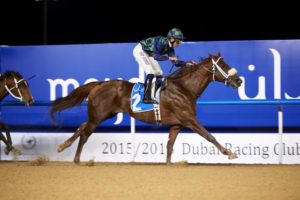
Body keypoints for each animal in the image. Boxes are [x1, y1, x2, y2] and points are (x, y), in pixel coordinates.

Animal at [50, 53, 243, 164]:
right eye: (223, 65)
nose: (239, 80)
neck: (184, 88)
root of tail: (99, 84)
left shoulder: (176, 124)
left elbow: (170, 145)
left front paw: (168, 165)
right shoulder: (189, 119)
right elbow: (209, 136)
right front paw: (230, 153)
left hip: (105, 115)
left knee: (82, 126)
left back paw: (62, 146)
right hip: (98, 116)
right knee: (85, 133)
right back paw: (76, 160)